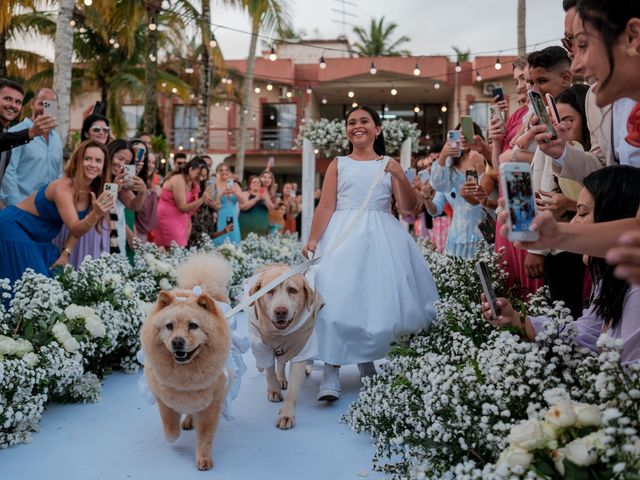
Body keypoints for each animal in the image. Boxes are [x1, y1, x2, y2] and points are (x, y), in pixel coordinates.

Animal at [141, 253, 231, 470]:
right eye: (169, 326)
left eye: (193, 326)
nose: (177, 342)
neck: (185, 374)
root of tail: (198, 287)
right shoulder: (164, 400)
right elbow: (170, 428)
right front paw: (172, 437)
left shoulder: (210, 405)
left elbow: (205, 437)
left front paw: (204, 460)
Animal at [248, 264, 322, 430]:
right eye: (269, 291)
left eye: (292, 290)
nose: (280, 311)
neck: (279, 334)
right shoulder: (262, 346)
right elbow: (269, 372)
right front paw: (274, 390)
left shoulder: (300, 349)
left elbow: (293, 389)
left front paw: (287, 414)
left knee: (281, 363)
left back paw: (282, 378)